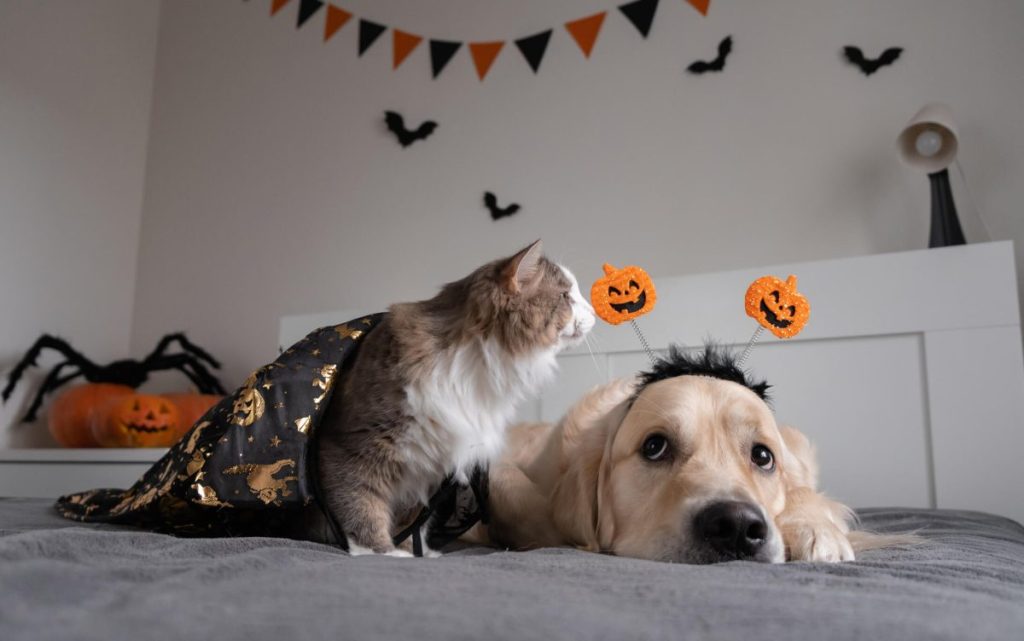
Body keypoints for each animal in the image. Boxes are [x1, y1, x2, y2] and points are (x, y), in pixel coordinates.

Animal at [315, 239, 598, 552]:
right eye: (566, 296)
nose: (595, 311)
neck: (475, 369)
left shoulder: (433, 467)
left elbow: (414, 520)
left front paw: (416, 550)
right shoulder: (350, 446)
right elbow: (361, 504)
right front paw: (382, 552)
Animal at [471, 346, 897, 561]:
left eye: (763, 456)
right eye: (654, 446)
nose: (736, 527)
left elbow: (804, 492)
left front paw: (817, 531)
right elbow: (507, 480)